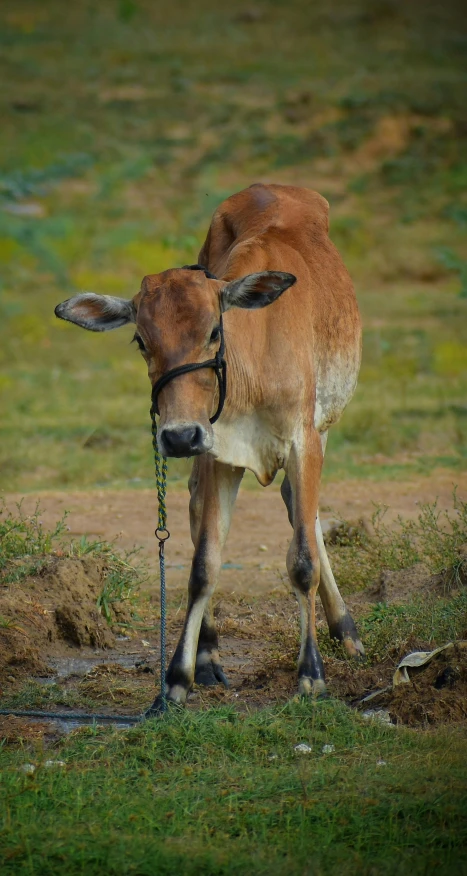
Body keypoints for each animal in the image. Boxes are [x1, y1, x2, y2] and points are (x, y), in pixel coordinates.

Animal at [54, 183, 362, 712]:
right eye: (140, 340)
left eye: (215, 331)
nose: (178, 436)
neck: (254, 361)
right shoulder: (217, 452)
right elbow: (203, 564)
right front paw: (178, 676)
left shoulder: (303, 441)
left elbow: (301, 557)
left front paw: (311, 673)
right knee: (200, 512)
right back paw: (210, 652)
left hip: (318, 425)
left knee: (301, 511)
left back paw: (345, 628)